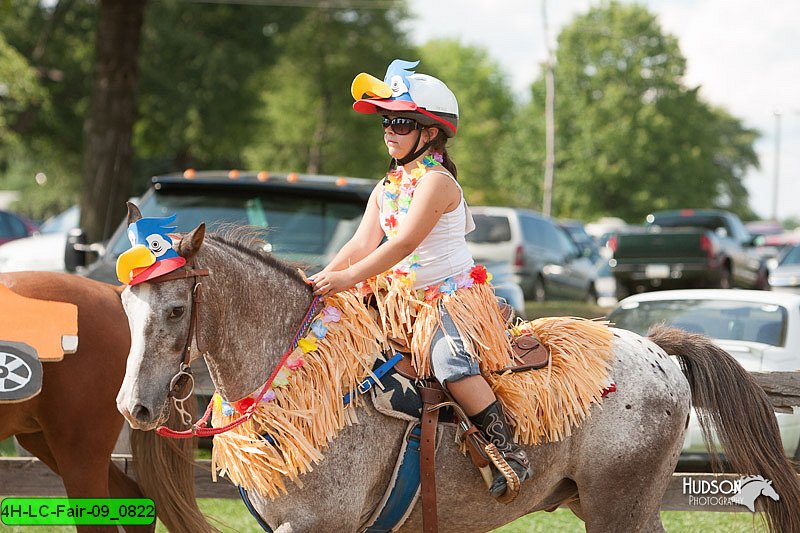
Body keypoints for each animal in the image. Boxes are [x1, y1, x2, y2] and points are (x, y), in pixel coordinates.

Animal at [117, 217, 800, 532]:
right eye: (125, 304)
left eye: (176, 309)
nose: (134, 408)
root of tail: (660, 351)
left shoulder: (318, 523)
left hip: (618, 506)